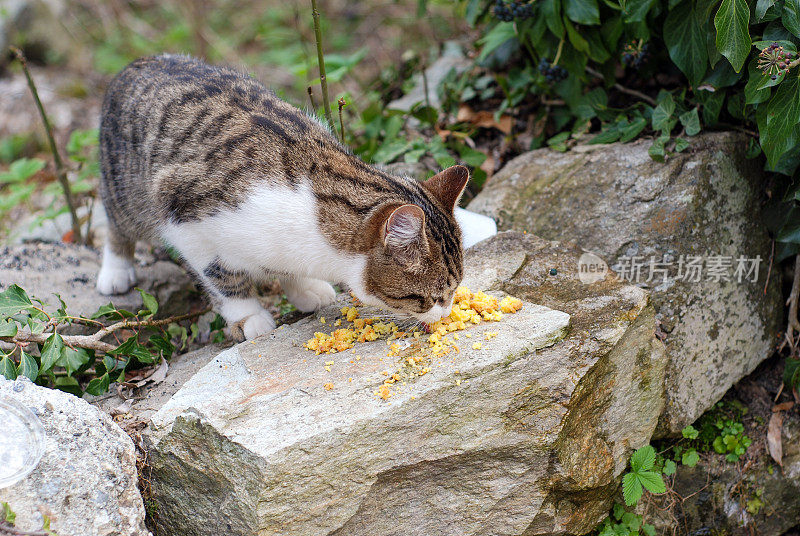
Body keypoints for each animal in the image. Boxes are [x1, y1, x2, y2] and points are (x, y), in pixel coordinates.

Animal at [97, 54, 468, 340]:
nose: (446, 313)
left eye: (454, 290)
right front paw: (248, 315)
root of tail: (139, 62)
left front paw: (303, 287)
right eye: (428, 297)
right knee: (116, 224)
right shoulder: (186, 216)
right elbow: (221, 275)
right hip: (125, 188)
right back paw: (115, 271)